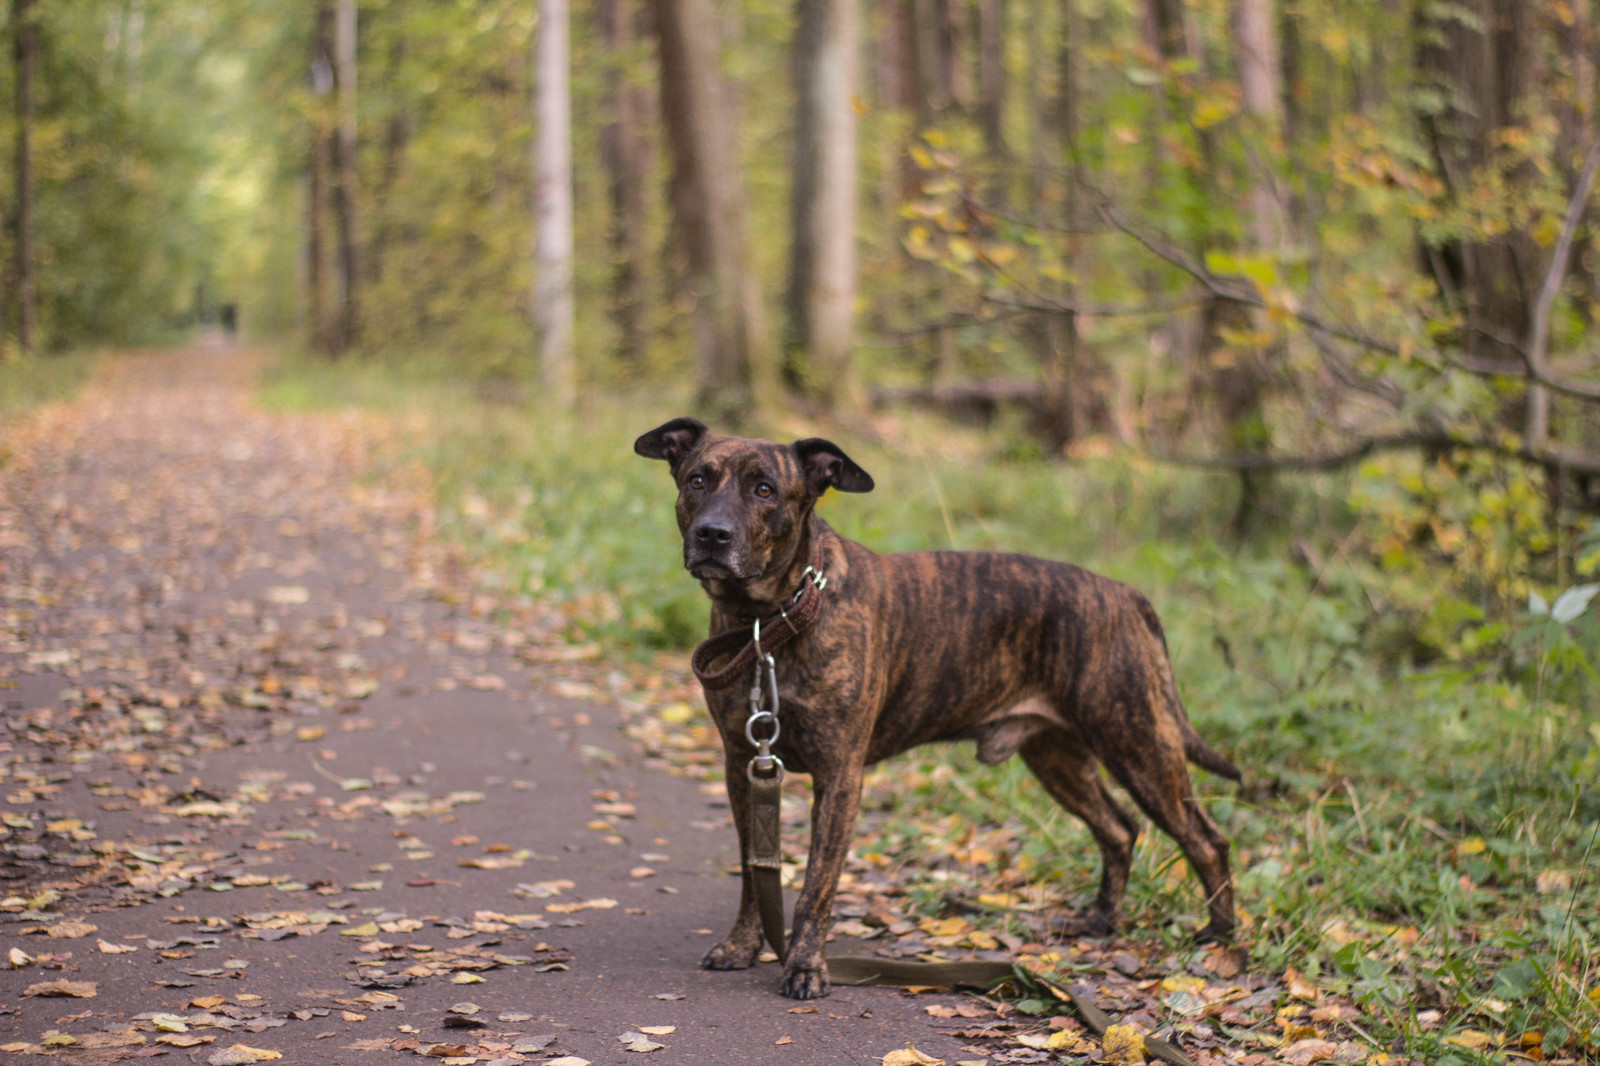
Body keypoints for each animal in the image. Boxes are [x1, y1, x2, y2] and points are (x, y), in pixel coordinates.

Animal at [633, 412, 1235, 998]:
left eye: (765, 489)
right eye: (697, 480)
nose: (713, 534)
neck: (770, 621)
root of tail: (1125, 595)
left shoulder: (839, 776)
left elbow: (815, 885)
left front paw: (804, 965)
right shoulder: (743, 766)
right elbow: (752, 871)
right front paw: (742, 946)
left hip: (1139, 746)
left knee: (1206, 839)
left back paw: (1221, 940)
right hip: (1057, 756)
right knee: (1119, 828)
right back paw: (1101, 920)